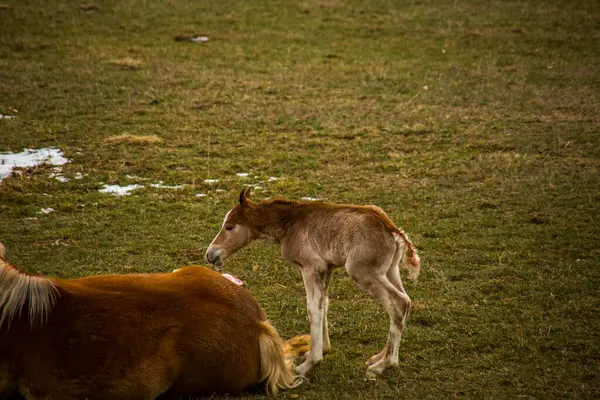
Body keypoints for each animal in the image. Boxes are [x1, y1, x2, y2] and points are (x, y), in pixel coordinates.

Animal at [204, 189, 420, 380]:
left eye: (229, 226)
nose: (210, 254)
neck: (290, 223)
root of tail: (393, 230)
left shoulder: (311, 267)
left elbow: (313, 309)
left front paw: (309, 364)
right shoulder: (327, 268)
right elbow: (324, 305)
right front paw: (322, 350)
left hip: (362, 271)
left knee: (398, 303)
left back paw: (383, 365)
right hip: (390, 271)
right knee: (406, 301)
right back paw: (379, 356)